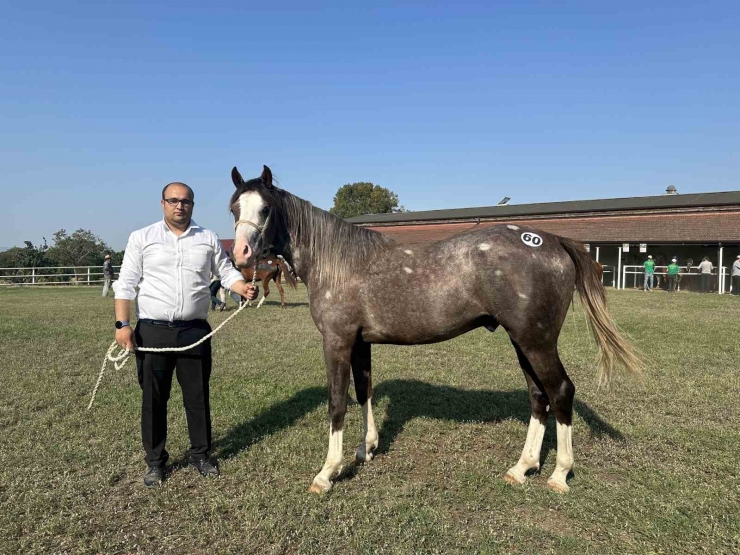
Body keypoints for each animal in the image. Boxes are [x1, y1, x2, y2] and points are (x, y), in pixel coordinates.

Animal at [228, 165, 640, 496]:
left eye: (265, 209)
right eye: (234, 208)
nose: (242, 255)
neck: (337, 263)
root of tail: (554, 241)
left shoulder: (337, 342)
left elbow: (337, 403)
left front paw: (327, 472)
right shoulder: (360, 343)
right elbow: (364, 392)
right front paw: (367, 448)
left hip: (536, 342)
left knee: (560, 392)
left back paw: (559, 474)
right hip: (523, 342)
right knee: (539, 396)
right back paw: (522, 468)